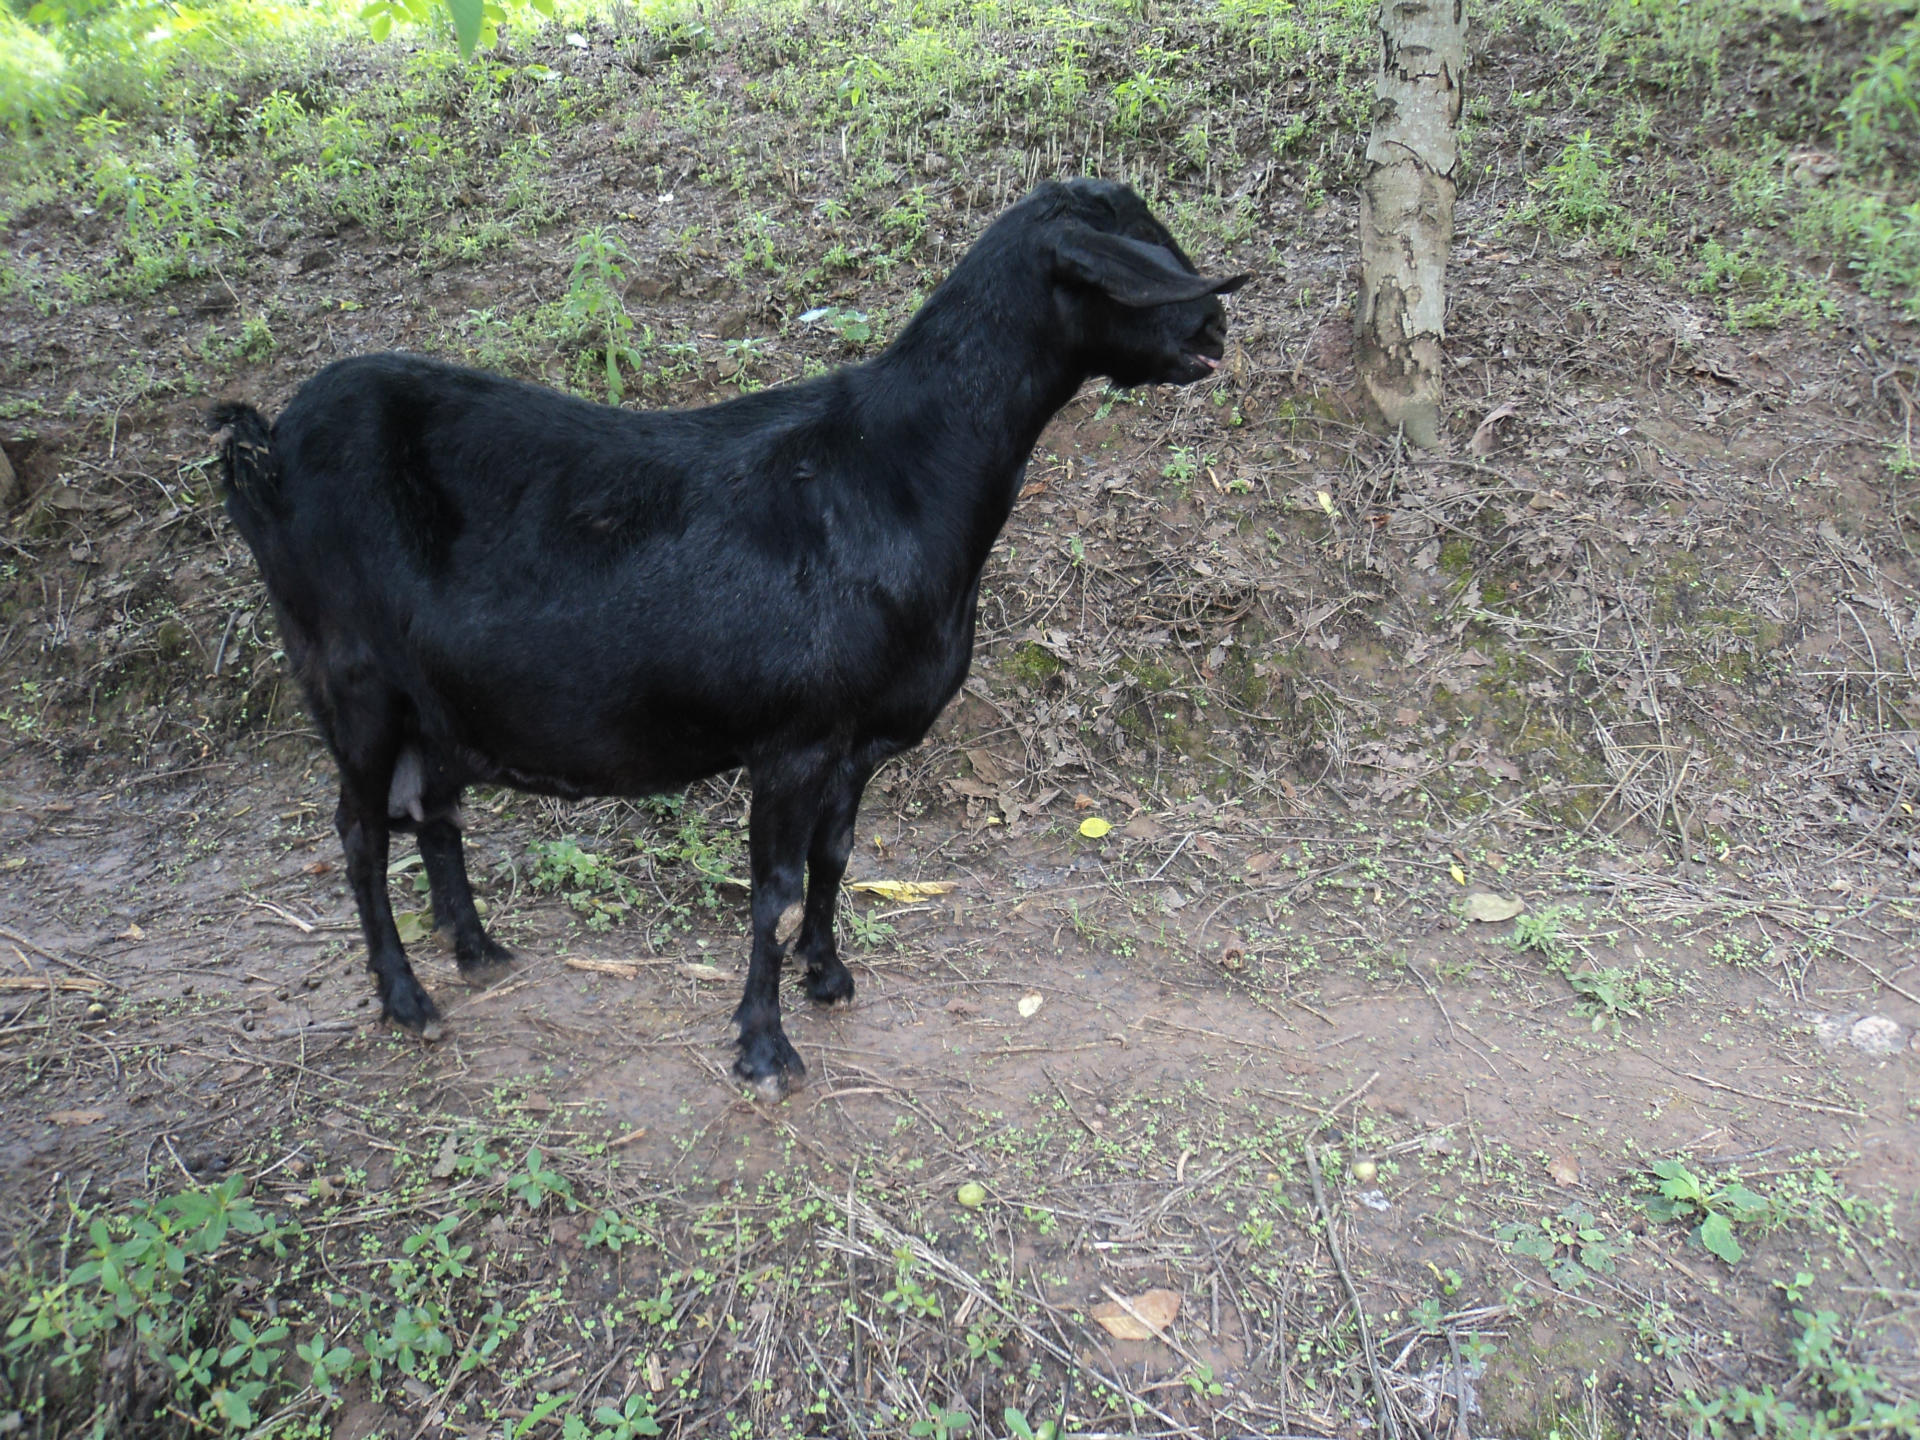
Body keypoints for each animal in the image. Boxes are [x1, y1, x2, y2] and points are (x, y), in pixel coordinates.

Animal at [214, 177, 1244, 1090]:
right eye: (1134, 252)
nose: (1215, 329)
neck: (896, 471)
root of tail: (269, 445)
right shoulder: (793, 739)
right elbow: (774, 893)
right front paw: (764, 1050)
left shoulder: (856, 741)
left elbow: (835, 859)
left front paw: (828, 977)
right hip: (350, 680)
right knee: (359, 832)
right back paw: (405, 997)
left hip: (437, 702)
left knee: (433, 809)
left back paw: (476, 949)